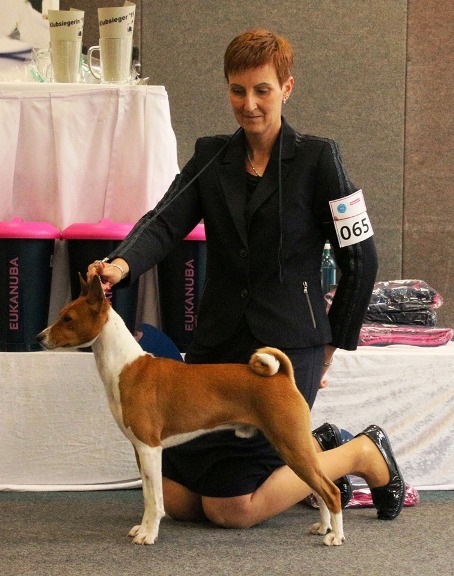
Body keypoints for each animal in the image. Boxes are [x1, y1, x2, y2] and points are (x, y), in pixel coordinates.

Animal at [37, 275, 344, 546]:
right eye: (61, 314)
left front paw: (148, 535)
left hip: (290, 442)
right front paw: (142, 529)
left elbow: (155, 501)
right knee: (318, 487)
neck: (125, 367)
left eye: (68, 318)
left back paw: (336, 537)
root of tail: (282, 376)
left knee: (330, 490)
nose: (40, 337)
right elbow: (148, 496)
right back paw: (323, 527)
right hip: (292, 447)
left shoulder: (150, 447)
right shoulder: (140, 448)